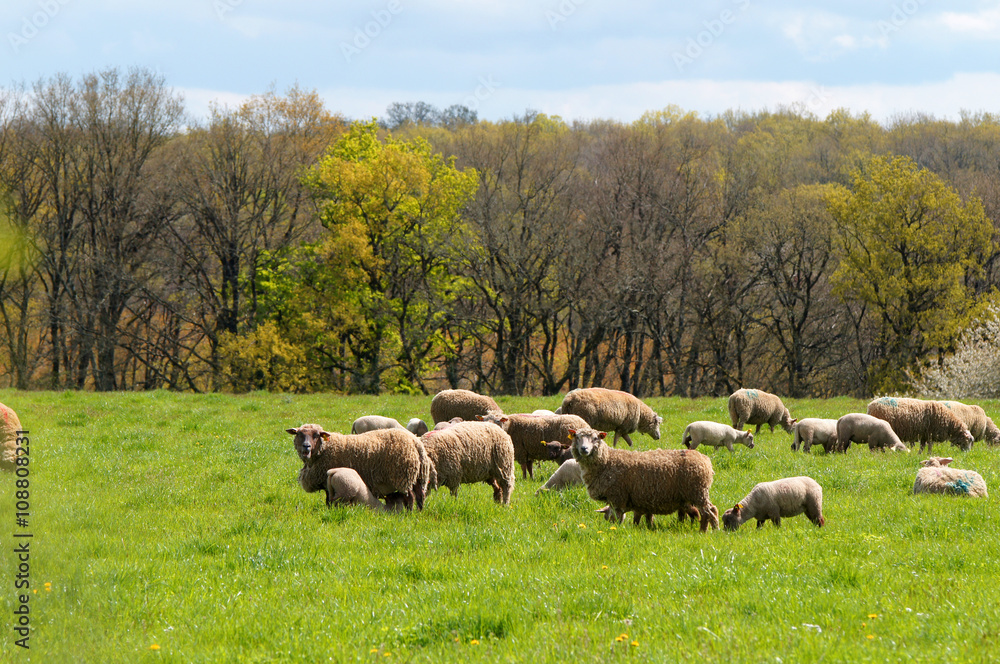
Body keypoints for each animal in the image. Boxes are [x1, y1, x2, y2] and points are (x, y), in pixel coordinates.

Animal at [287, 424, 429, 511]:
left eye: (316, 435)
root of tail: (415, 442)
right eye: (299, 434)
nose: (306, 446)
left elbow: (329, 500)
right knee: (420, 496)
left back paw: (409, 513)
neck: (324, 449)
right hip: (416, 476)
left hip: (403, 475)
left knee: (410, 497)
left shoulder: (327, 480)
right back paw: (418, 513)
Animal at [570, 427, 718, 531]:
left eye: (595, 438)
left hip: (697, 490)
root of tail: (705, 460)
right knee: (711, 510)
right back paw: (712, 530)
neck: (607, 461)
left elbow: (616, 518)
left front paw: (615, 531)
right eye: (577, 437)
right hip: (697, 492)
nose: (584, 449)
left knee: (708, 511)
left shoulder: (617, 496)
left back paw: (706, 531)